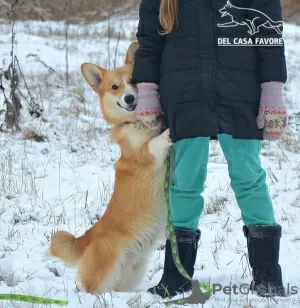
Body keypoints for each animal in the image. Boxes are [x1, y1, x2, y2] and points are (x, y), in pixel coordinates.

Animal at [48, 41, 172, 294]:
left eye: (134, 80)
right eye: (115, 87)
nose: (129, 98)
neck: (140, 123)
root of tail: (89, 236)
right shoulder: (144, 155)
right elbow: (154, 144)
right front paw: (167, 133)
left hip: (132, 272)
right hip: (104, 270)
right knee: (91, 288)